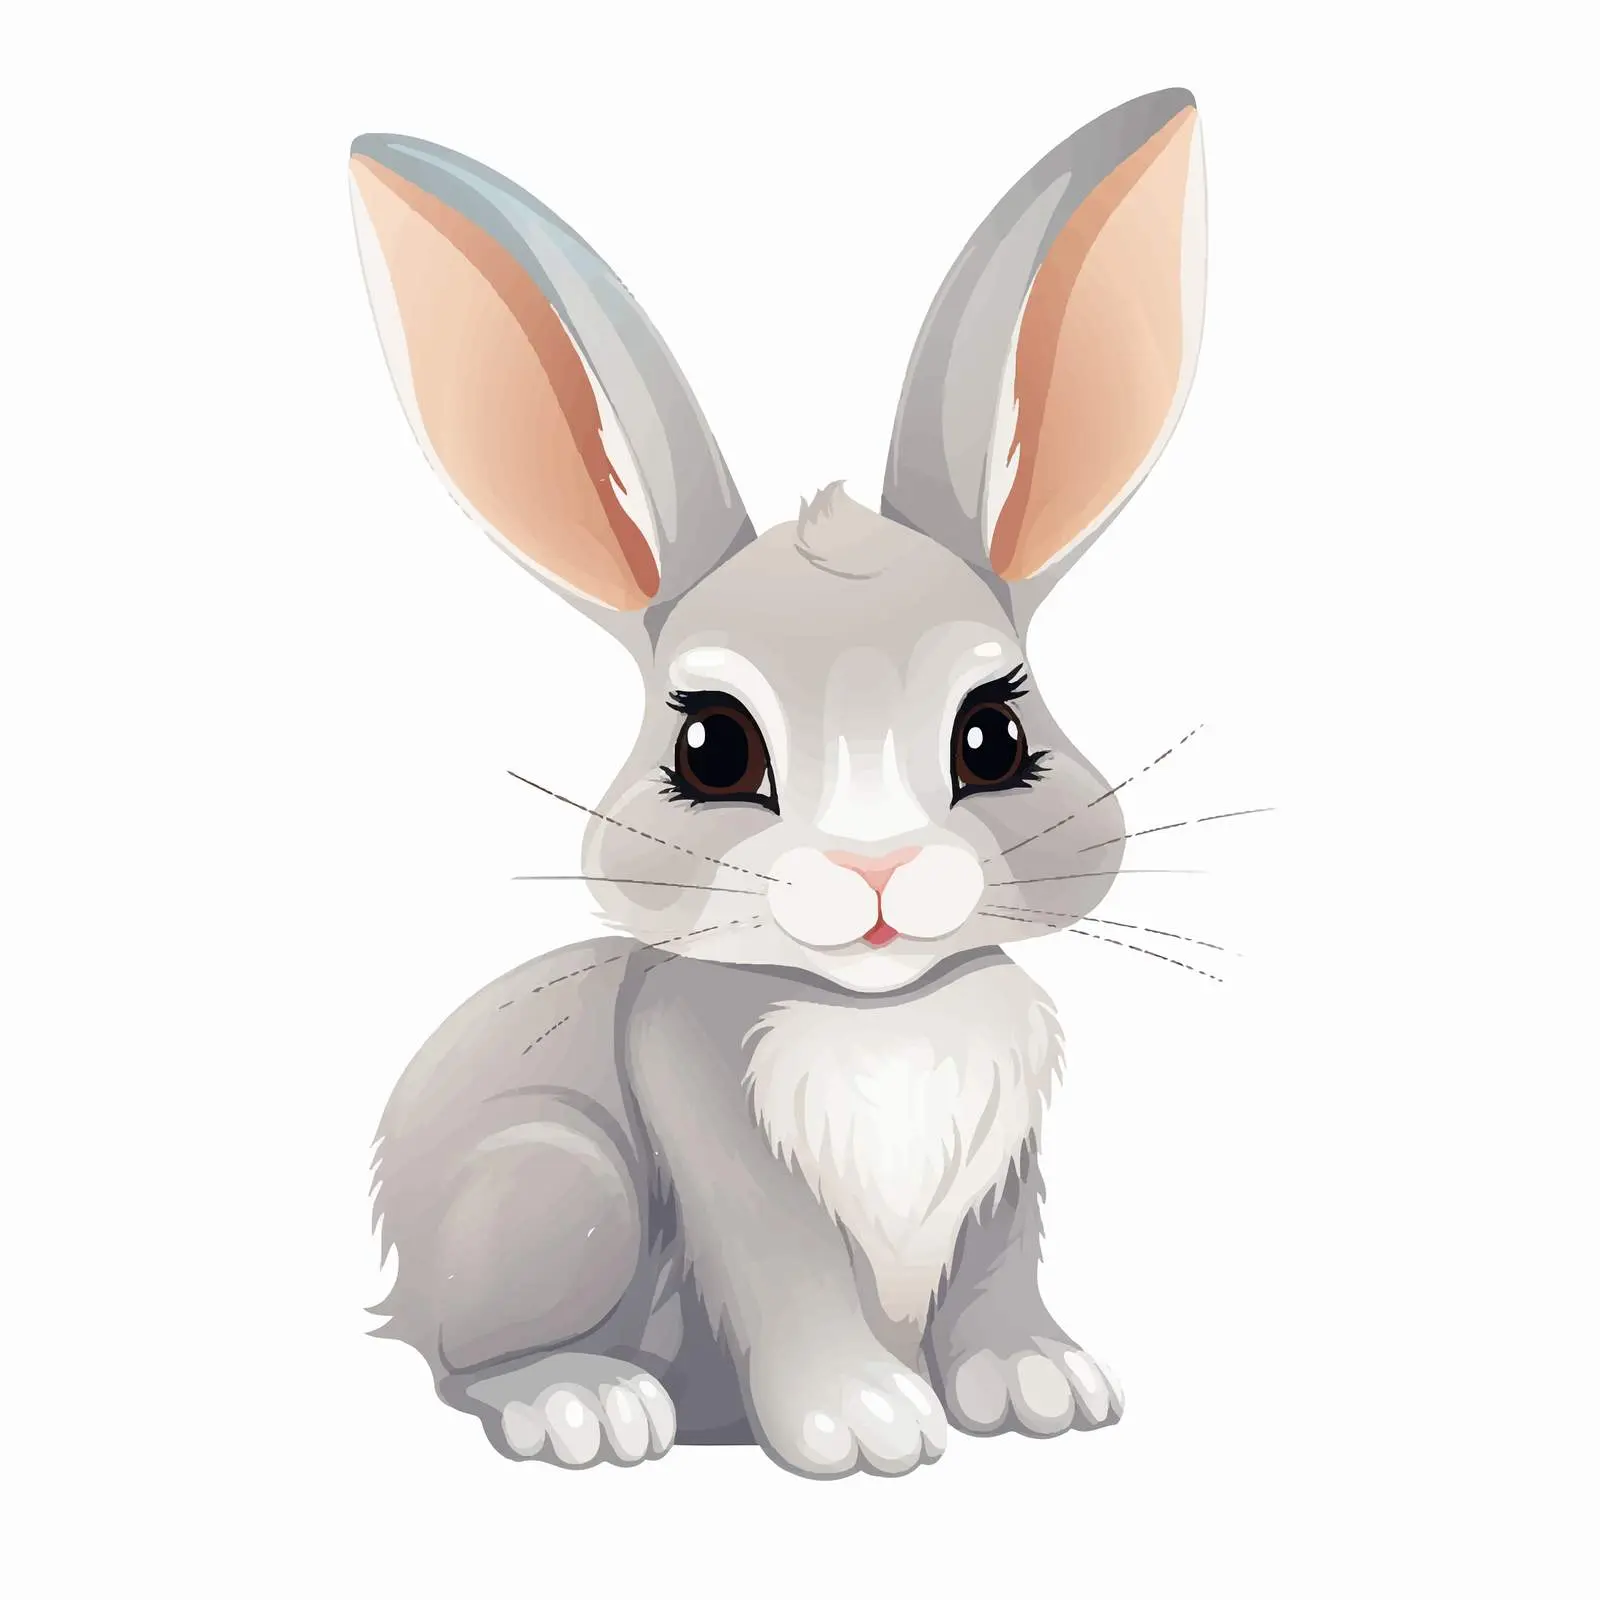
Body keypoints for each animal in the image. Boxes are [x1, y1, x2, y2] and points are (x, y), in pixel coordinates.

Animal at [349, 85, 1206, 1477]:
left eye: (992, 738)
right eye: (710, 751)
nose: (877, 869)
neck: (877, 1008)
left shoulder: (1009, 1167)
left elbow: (997, 1274)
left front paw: (1040, 1384)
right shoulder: (713, 1141)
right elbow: (785, 1272)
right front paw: (863, 1426)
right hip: (558, 1182)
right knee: (460, 1361)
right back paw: (583, 1401)